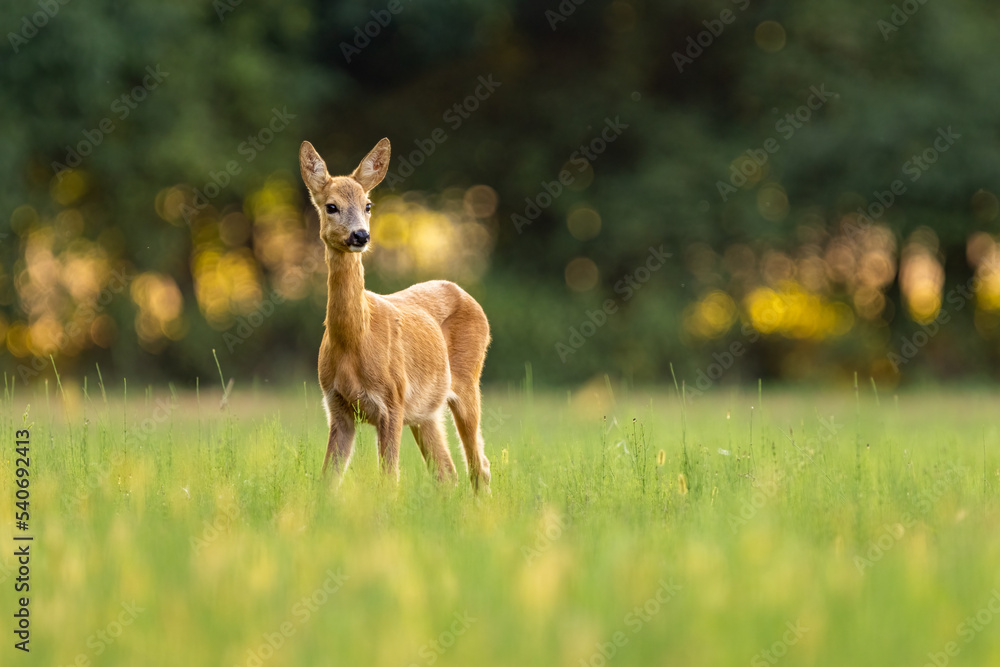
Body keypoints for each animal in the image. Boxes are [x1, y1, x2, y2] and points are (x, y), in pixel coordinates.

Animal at [299, 138, 492, 491]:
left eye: (368, 205)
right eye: (331, 206)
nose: (360, 236)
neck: (354, 342)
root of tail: (466, 294)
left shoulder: (393, 400)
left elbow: (389, 479)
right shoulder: (337, 406)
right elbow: (329, 478)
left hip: (468, 381)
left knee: (478, 466)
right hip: (426, 412)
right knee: (447, 471)